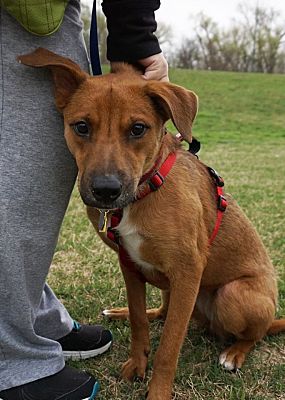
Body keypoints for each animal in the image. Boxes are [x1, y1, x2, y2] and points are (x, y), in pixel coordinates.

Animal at [19, 48, 284, 398]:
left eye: (137, 129)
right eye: (81, 126)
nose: (105, 191)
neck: (147, 188)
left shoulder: (188, 272)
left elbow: (170, 345)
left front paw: (158, 389)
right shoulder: (130, 265)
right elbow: (139, 322)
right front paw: (137, 361)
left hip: (233, 295)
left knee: (254, 332)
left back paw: (235, 353)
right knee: (161, 312)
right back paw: (123, 313)